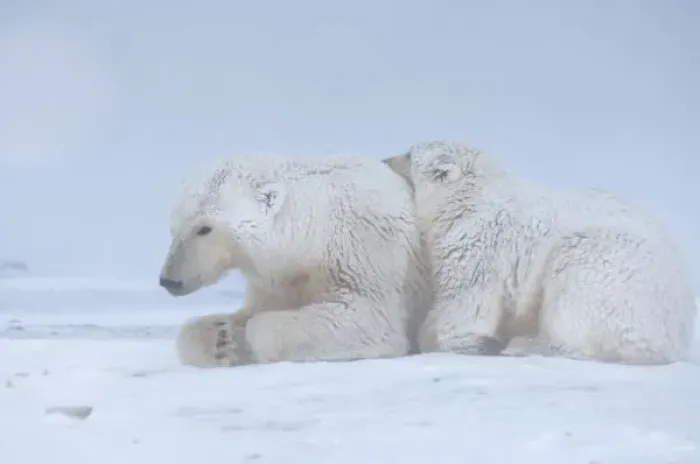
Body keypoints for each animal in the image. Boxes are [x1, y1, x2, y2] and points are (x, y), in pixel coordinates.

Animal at [159, 153, 425, 367]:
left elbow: (368, 318)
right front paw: (221, 339)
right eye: (173, 228)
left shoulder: (363, 252)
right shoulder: (277, 280)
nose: (169, 280)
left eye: (204, 228)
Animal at [382, 140, 697, 365]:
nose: (385, 159)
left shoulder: (479, 243)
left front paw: (454, 339)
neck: (471, 197)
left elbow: (463, 302)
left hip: (605, 265)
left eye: (409, 154)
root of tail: (680, 332)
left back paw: (523, 344)